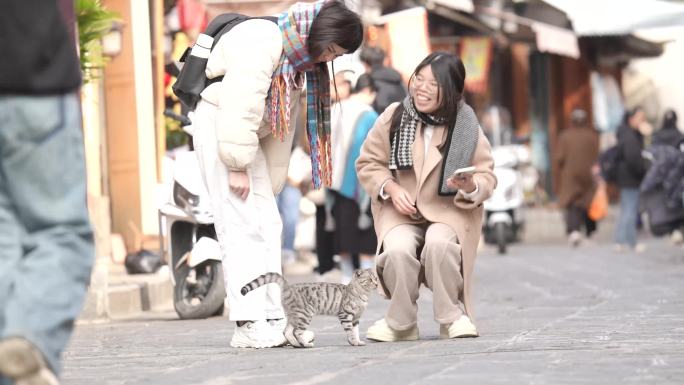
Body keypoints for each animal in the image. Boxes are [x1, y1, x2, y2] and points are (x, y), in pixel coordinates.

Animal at [240, 268, 380, 346]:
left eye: (376, 278)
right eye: (370, 280)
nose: (377, 284)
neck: (363, 295)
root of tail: (288, 287)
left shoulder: (356, 318)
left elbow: (355, 331)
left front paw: (357, 341)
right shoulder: (345, 315)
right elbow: (350, 331)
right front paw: (354, 342)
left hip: (294, 316)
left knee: (286, 331)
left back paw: (296, 344)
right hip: (305, 315)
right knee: (296, 331)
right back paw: (305, 344)